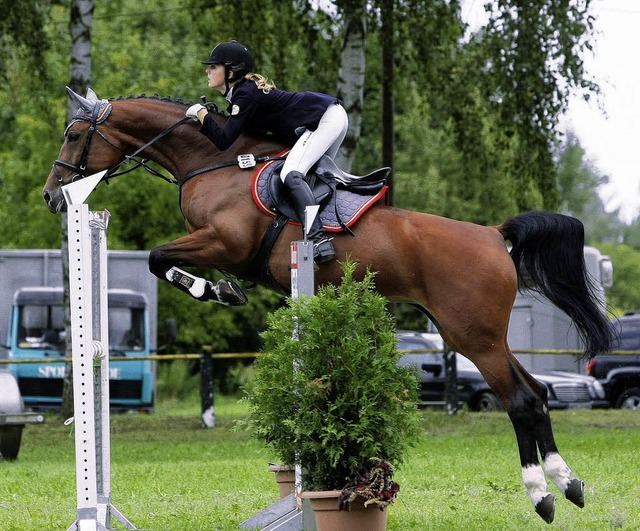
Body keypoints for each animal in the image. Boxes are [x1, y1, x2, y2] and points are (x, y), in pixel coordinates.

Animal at [42, 87, 612, 524]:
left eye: (72, 134)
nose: (51, 196)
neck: (213, 161)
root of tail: (495, 235)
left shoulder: (222, 242)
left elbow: (160, 258)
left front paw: (215, 291)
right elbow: (164, 260)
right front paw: (224, 290)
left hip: (472, 335)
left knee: (520, 399)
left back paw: (541, 495)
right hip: (482, 334)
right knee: (537, 392)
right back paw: (569, 484)